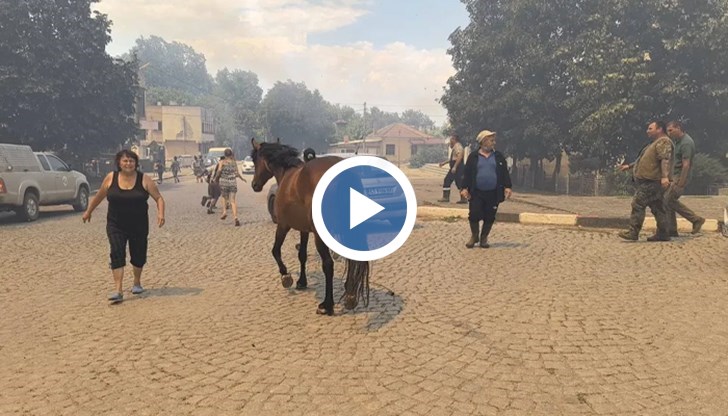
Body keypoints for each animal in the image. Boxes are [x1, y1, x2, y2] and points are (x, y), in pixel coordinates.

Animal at [250, 138, 370, 316]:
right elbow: (302, 254)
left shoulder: (283, 225)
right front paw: (302, 281)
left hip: (320, 236)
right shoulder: (304, 230)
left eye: (254, 160)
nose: (254, 185)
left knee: (328, 264)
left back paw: (327, 305)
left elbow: (275, 250)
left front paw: (286, 276)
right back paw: (350, 295)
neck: (287, 175)